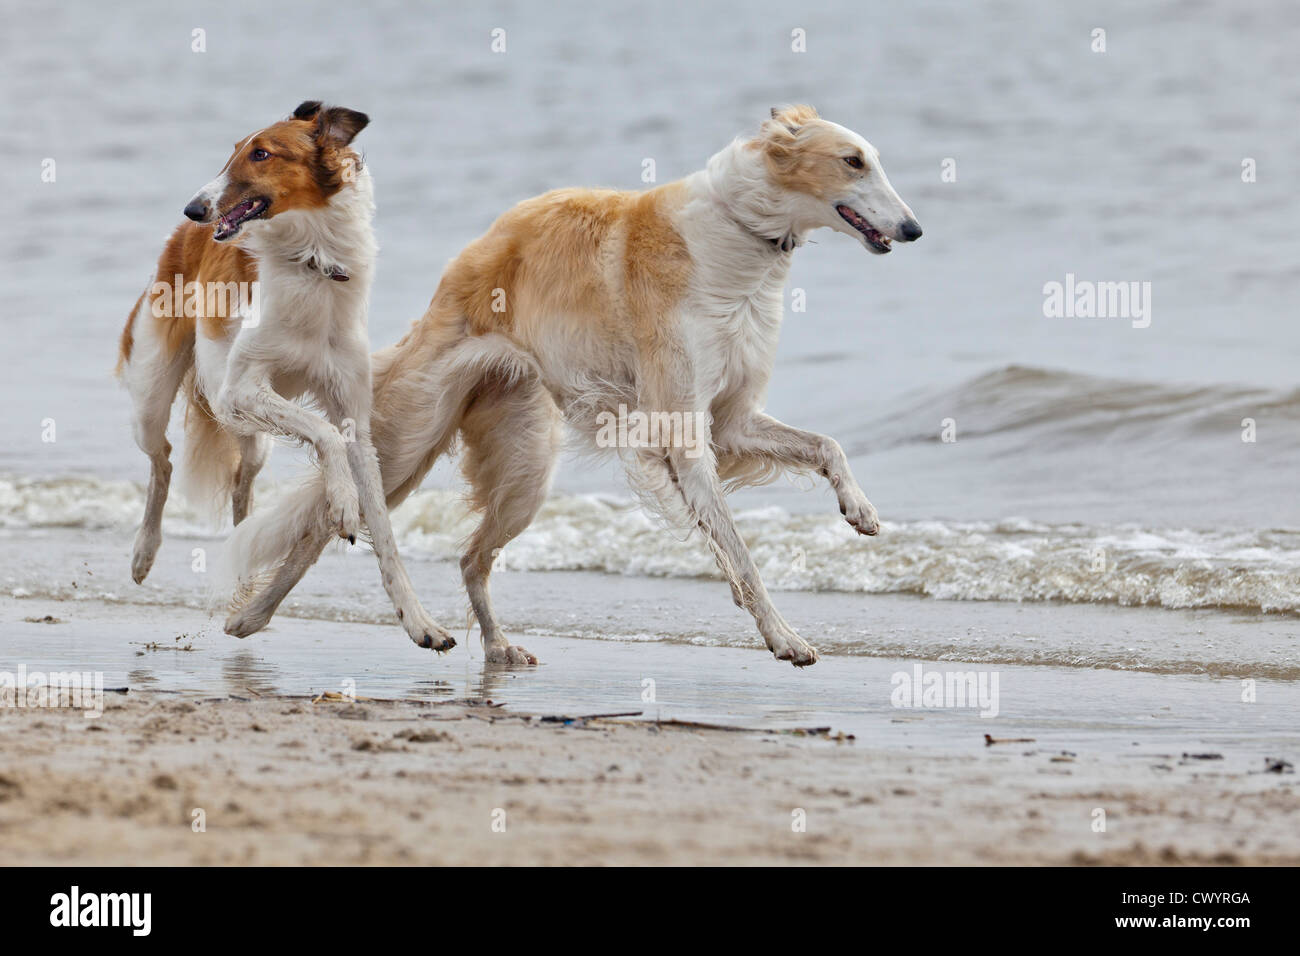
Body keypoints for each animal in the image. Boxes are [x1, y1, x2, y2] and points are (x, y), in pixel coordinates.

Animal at [118, 100, 452, 655]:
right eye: (234, 150)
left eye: (261, 153)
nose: (194, 208)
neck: (313, 261)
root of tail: (179, 238)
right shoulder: (240, 389)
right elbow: (323, 435)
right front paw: (342, 505)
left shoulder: (354, 418)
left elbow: (383, 530)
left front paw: (419, 622)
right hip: (153, 394)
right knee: (161, 463)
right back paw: (143, 554)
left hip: (253, 439)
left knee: (240, 484)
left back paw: (242, 581)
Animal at [218, 106, 920, 665]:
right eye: (853, 161)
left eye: (873, 160)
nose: (915, 230)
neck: (737, 234)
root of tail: (467, 260)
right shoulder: (682, 428)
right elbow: (741, 553)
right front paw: (786, 639)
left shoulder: (732, 420)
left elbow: (827, 445)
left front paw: (860, 510)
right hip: (410, 440)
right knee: (327, 522)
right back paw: (256, 616)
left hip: (526, 465)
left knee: (471, 558)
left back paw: (497, 646)